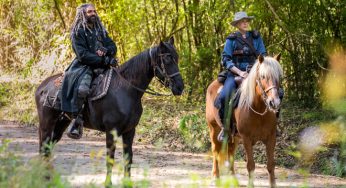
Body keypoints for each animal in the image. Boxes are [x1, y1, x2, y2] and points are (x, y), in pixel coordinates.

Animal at [35, 37, 184, 186]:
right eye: (167, 59)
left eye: (177, 58)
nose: (180, 87)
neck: (127, 90)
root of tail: (42, 86)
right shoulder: (111, 131)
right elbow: (110, 158)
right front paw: (108, 183)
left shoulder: (130, 131)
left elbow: (128, 158)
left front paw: (127, 183)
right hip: (47, 124)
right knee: (43, 148)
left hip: (61, 123)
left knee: (47, 149)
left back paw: (48, 177)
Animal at [207, 54, 282, 187]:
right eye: (263, 76)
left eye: (278, 76)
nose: (274, 102)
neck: (258, 109)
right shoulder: (246, 138)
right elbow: (250, 165)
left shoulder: (271, 137)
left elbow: (270, 164)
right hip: (213, 128)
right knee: (215, 151)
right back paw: (215, 177)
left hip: (234, 137)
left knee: (230, 152)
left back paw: (233, 180)